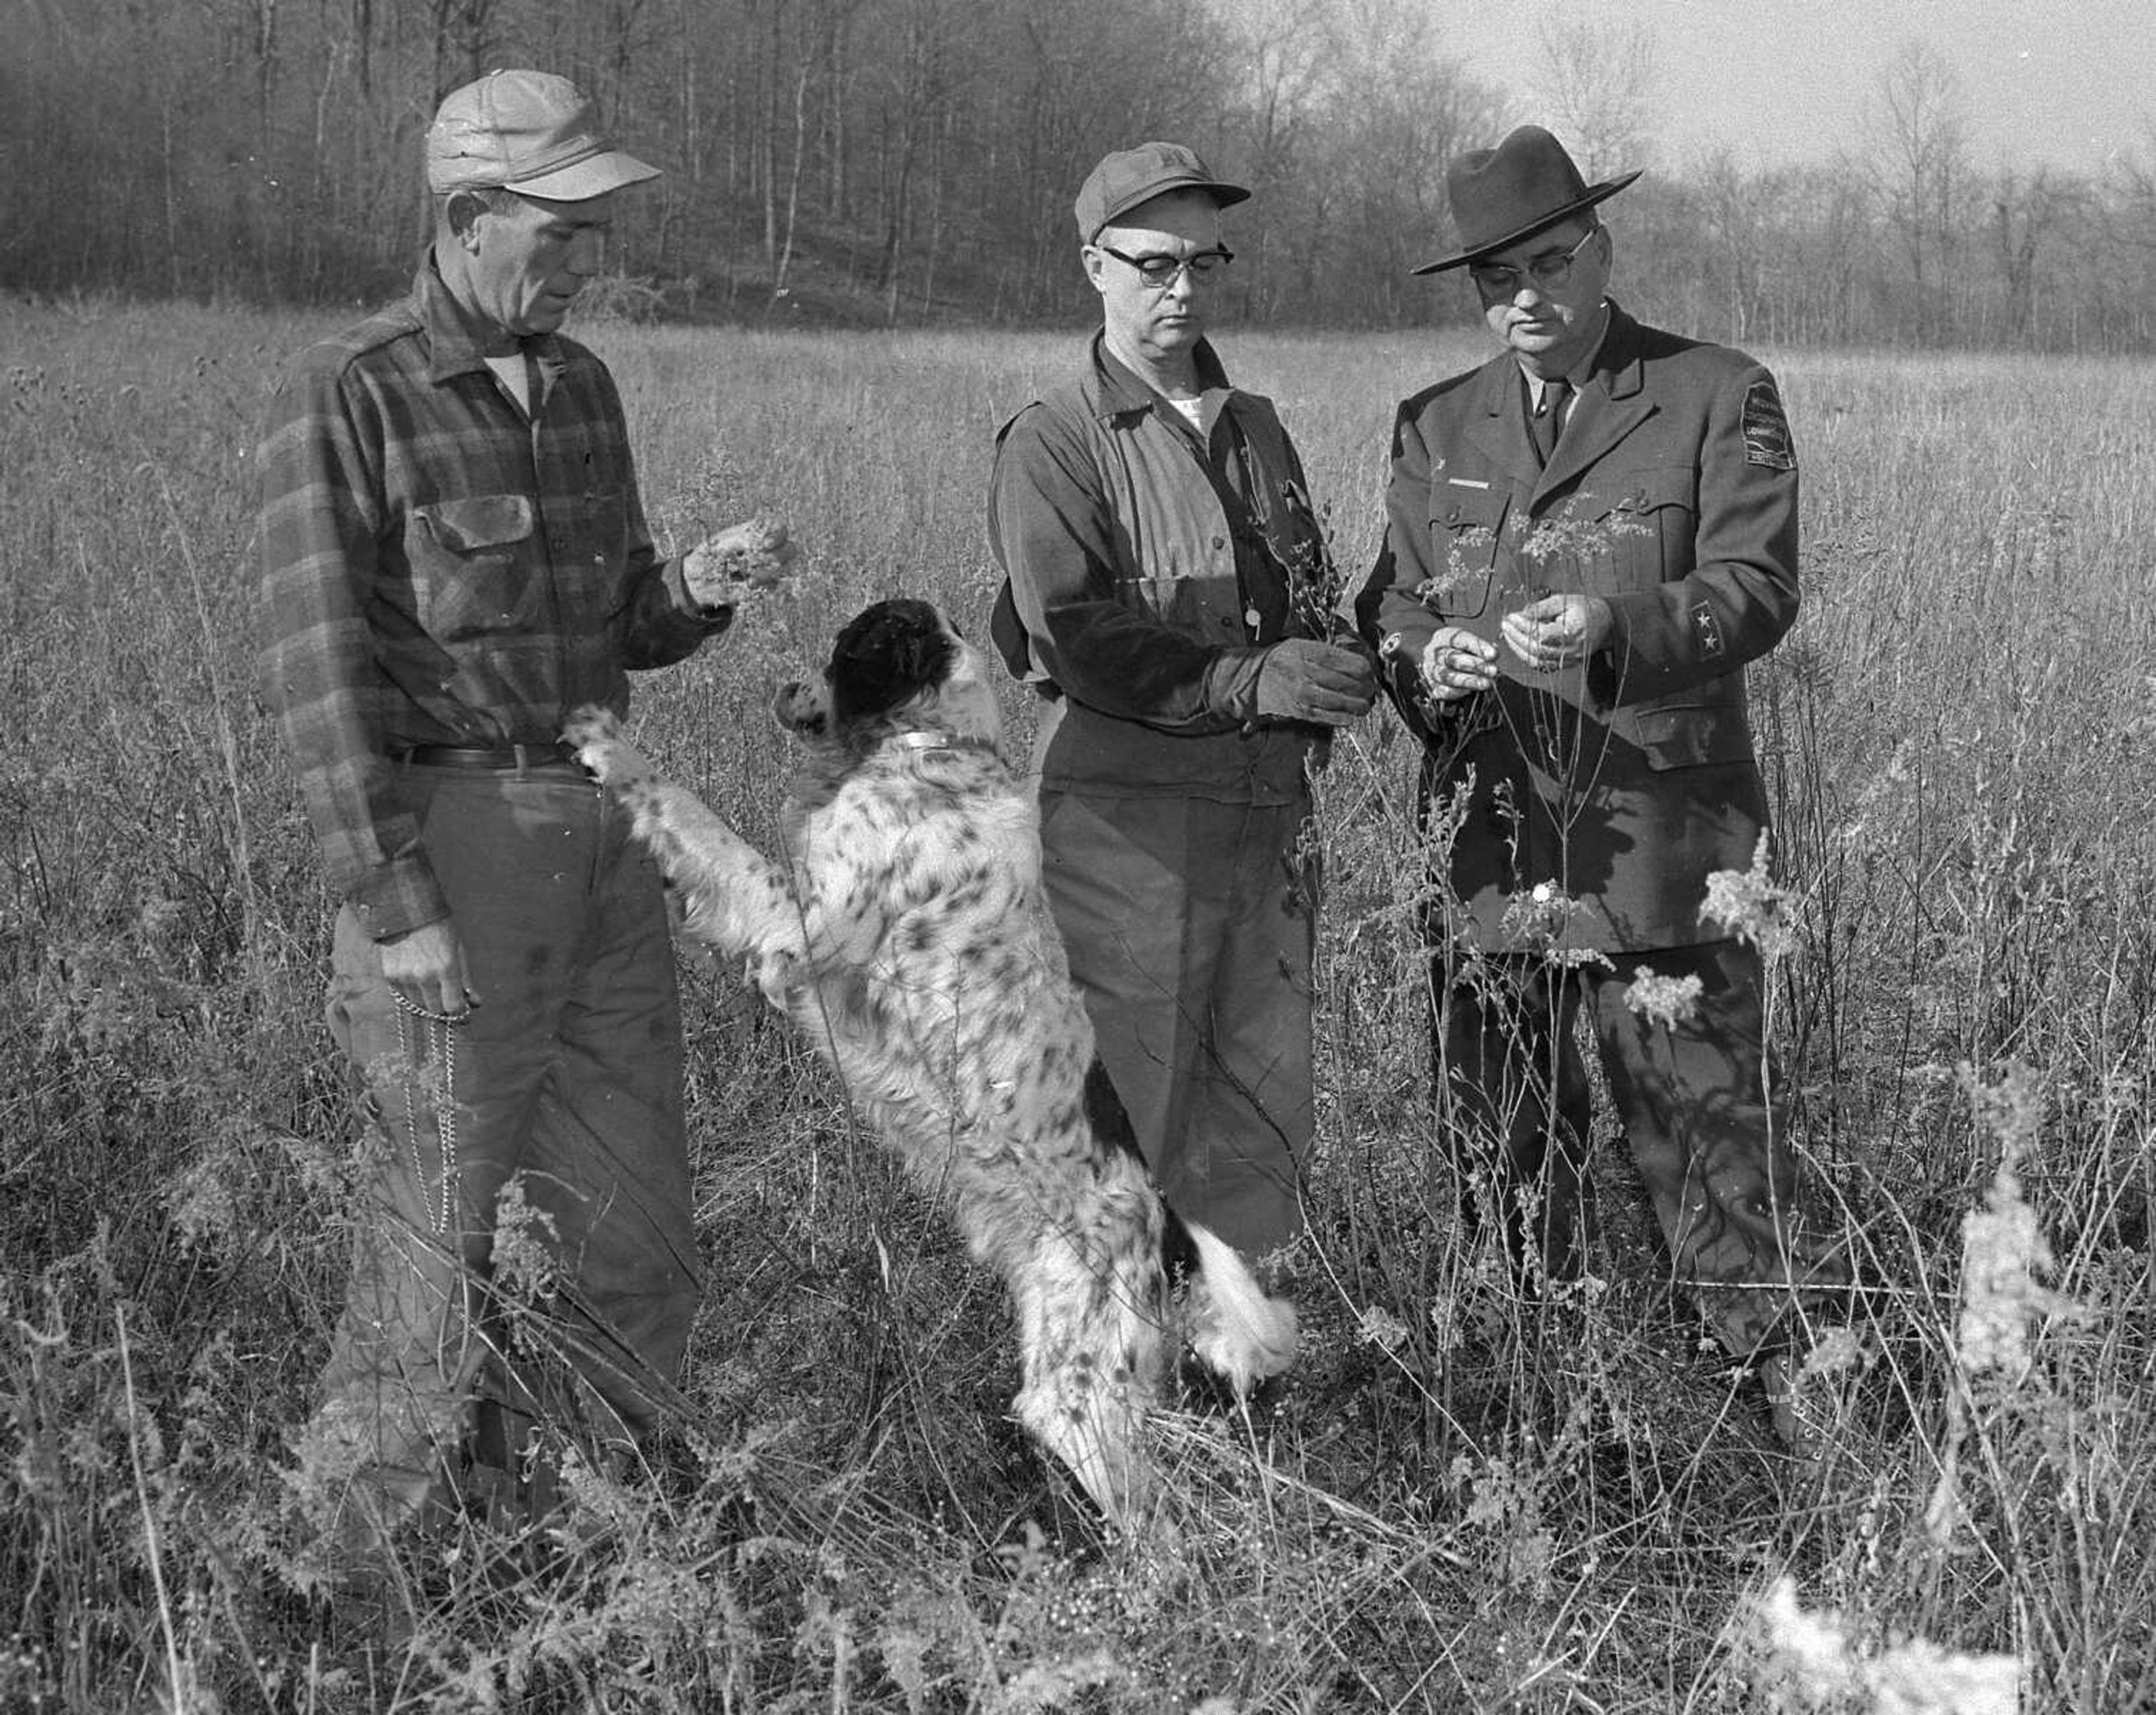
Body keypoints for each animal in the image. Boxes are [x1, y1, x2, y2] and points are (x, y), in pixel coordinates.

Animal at [565, 595, 1285, 1518]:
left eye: (842, 650)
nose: (783, 683)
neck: (929, 750)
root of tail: (1168, 1227)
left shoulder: (793, 925)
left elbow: (692, 816)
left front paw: (608, 743)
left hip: (1080, 1392)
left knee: (1155, 1525)